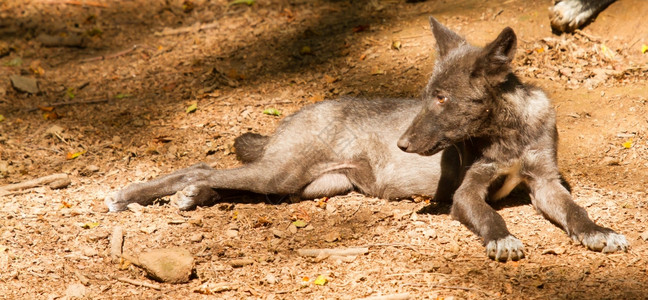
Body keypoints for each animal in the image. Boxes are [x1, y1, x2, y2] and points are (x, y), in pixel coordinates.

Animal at [107, 17, 628, 260]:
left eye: (442, 99)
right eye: (425, 96)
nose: (401, 145)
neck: (509, 133)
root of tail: (297, 113)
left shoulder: (546, 184)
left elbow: (577, 212)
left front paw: (598, 231)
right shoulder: (466, 193)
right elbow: (490, 217)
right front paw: (502, 240)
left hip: (303, 188)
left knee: (219, 179)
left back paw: (195, 196)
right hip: (282, 173)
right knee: (200, 166)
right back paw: (133, 194)